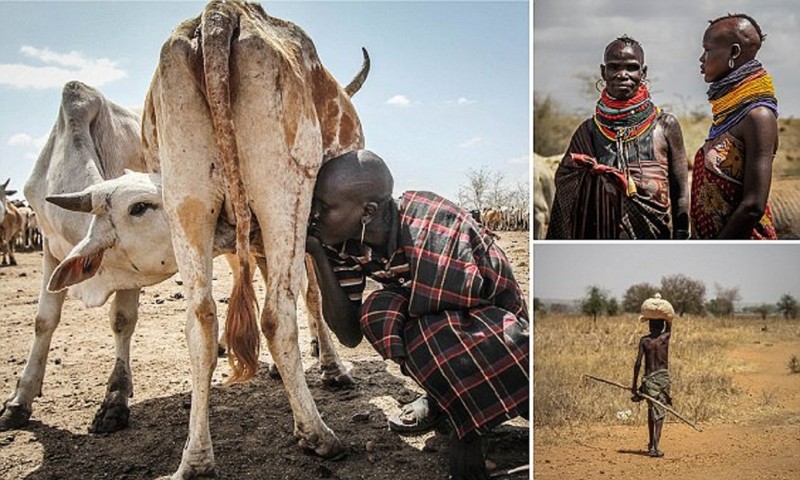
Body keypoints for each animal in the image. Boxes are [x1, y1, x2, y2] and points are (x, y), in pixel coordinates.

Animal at [142, 1, 368, 478]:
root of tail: (220, 15)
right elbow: (313, 294)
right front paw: (333, 367)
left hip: (186, 205)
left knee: (201, 321)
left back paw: (196, 458)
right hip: (284, 194)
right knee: (277, 315)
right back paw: (318, 435)